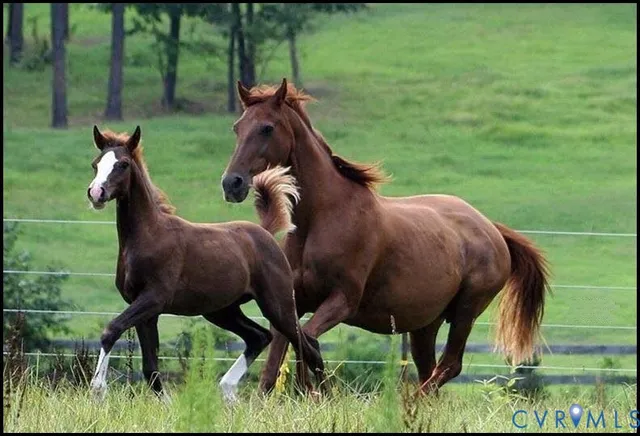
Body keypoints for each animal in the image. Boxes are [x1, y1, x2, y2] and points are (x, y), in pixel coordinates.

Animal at [85, 125, 325, 402]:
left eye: (122, 164)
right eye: (96, 164)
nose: (96, 193)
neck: (148, 236)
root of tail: (263, 232)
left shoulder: (154, 298)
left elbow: (111, 330)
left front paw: (98, 389)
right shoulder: (146, 310)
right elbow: (150, 368)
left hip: (278, 305)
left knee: (309, 347)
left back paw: (325, 398)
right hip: (222, 310)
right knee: (259, 337)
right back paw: (229, 392)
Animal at [220, 78, 551, 394]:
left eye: (267, 128)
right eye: (237, 127)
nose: (231, 183)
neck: (321, 218)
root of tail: (492, 229)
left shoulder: (343, 300)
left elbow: (308, 342)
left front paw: (315, 392)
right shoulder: (291, 303)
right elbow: (275, 365)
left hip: (465, 312)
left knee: (449, 366)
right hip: (425, 325)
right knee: (429, 370)